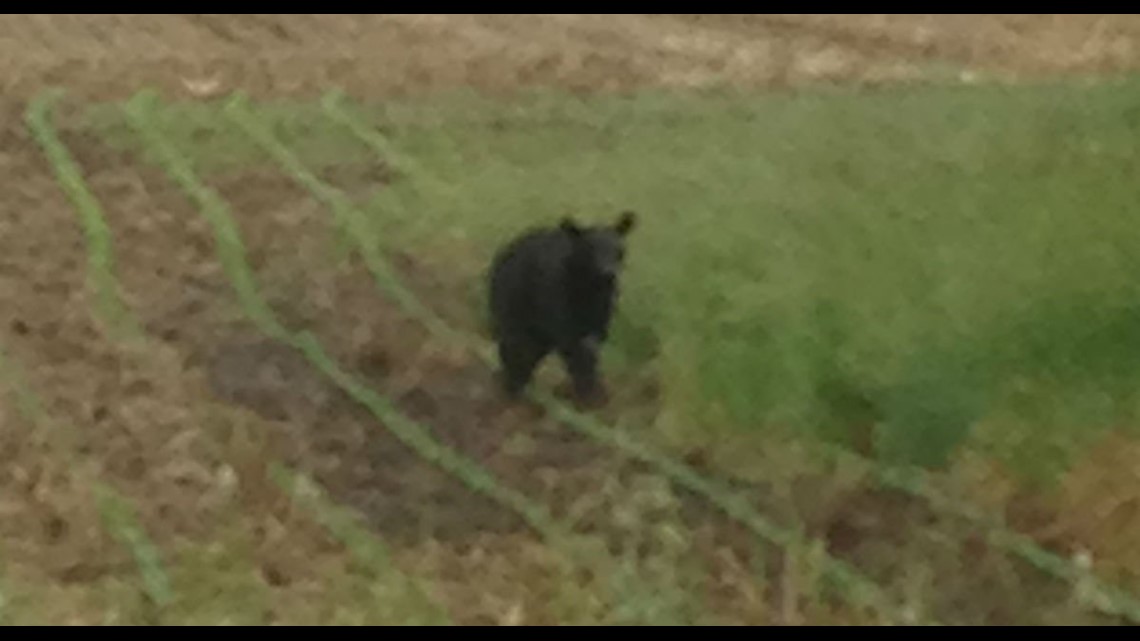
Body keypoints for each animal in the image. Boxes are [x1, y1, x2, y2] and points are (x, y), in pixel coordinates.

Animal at [487, 210, 637, 405]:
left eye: (618, 248)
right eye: (590, 248)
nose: (608, 274)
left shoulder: (600, 323)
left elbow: (589, 353)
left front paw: (592, 393)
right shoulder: (559, 318)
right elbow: (576, 354)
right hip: (513, 314)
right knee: (514, 348)